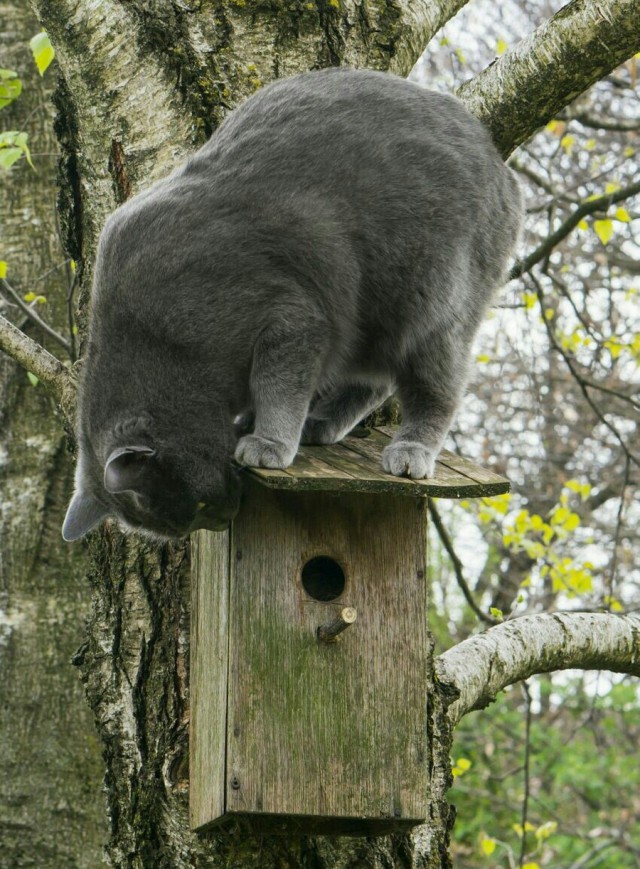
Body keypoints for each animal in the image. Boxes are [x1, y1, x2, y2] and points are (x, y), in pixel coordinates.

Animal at [62, 68, 524, 540]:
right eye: (184, 524)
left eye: (198, 507)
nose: (223, 520)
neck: (158, 344)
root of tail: (502, 168)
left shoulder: (290, 318)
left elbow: (278, 385)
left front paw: (268, 442)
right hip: (369, 326)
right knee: (372, 381)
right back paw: (319, 425)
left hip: (430, 302)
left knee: (437, 387)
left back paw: (410, 450)